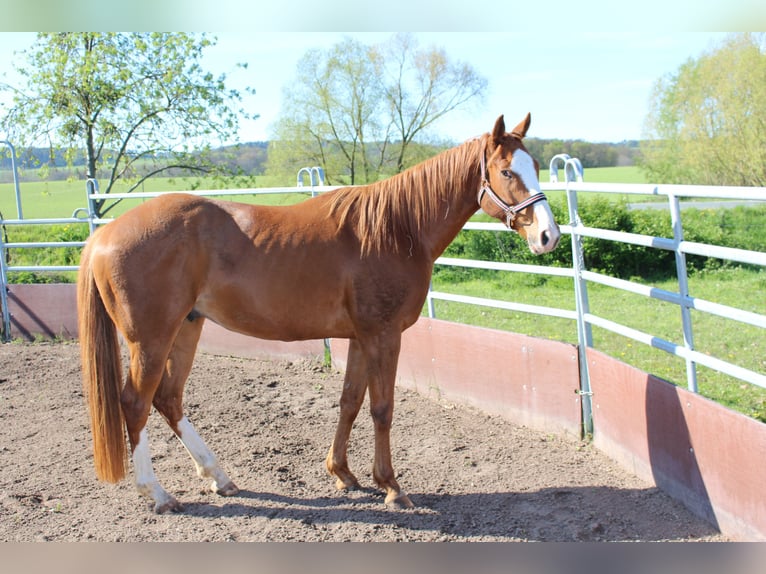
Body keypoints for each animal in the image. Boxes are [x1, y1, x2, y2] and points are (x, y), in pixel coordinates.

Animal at [77, 114, 561, 513]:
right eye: (506, 171)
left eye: (537, 165)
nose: (548, 236)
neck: (396, 228)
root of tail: (105, 235)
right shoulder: (384, 335)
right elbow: (382, 408)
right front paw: (391, 486)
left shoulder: (361, 337)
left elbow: (350, 402)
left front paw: (343, 473)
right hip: (150, 340)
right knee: (135, 403)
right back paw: (158, 494)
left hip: (186, 330)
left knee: (168, 399)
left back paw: (219, 477)